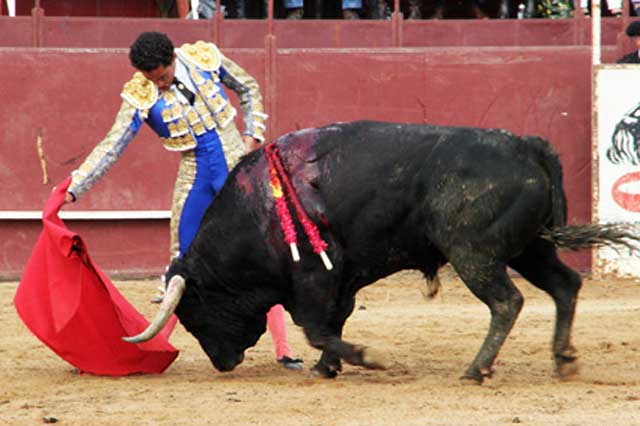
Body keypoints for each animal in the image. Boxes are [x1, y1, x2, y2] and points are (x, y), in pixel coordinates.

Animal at [125, 120, 640, 382]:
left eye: (192, 312)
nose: (222, 363)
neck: (257, 209)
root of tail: (529, 147)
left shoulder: (314, 277)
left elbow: (317, 327)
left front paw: (364, 357)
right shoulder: (343, 277)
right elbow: (333, 321)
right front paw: (327, 367)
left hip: (474, 253)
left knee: (506, 302)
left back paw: (477, 369)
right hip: (530, 248)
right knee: (565, 285)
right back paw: (563, 360)